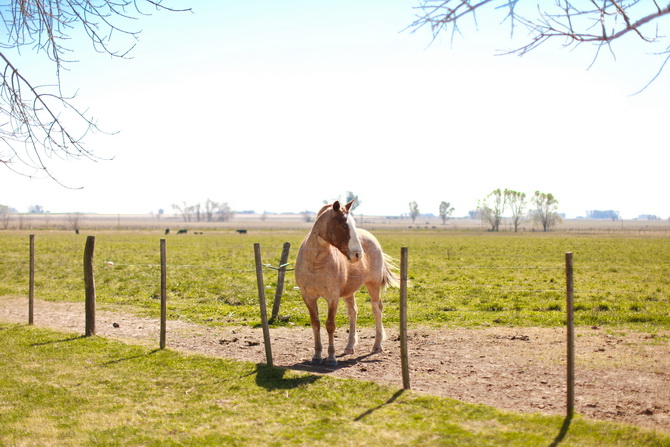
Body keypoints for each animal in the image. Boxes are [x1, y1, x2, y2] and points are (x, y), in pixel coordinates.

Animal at [296, 200, 400, 368]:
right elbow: (316, 324)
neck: (316, 263)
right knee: (353, 312)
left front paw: (331, 358)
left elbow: (330, 325)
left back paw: (377, 345)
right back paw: (349, 346)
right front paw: (317, 356)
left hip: (373, 285)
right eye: (344, 226)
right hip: (349, 291)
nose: (358, 254)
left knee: (376, 309)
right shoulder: (308, 298)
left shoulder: (332, 298)